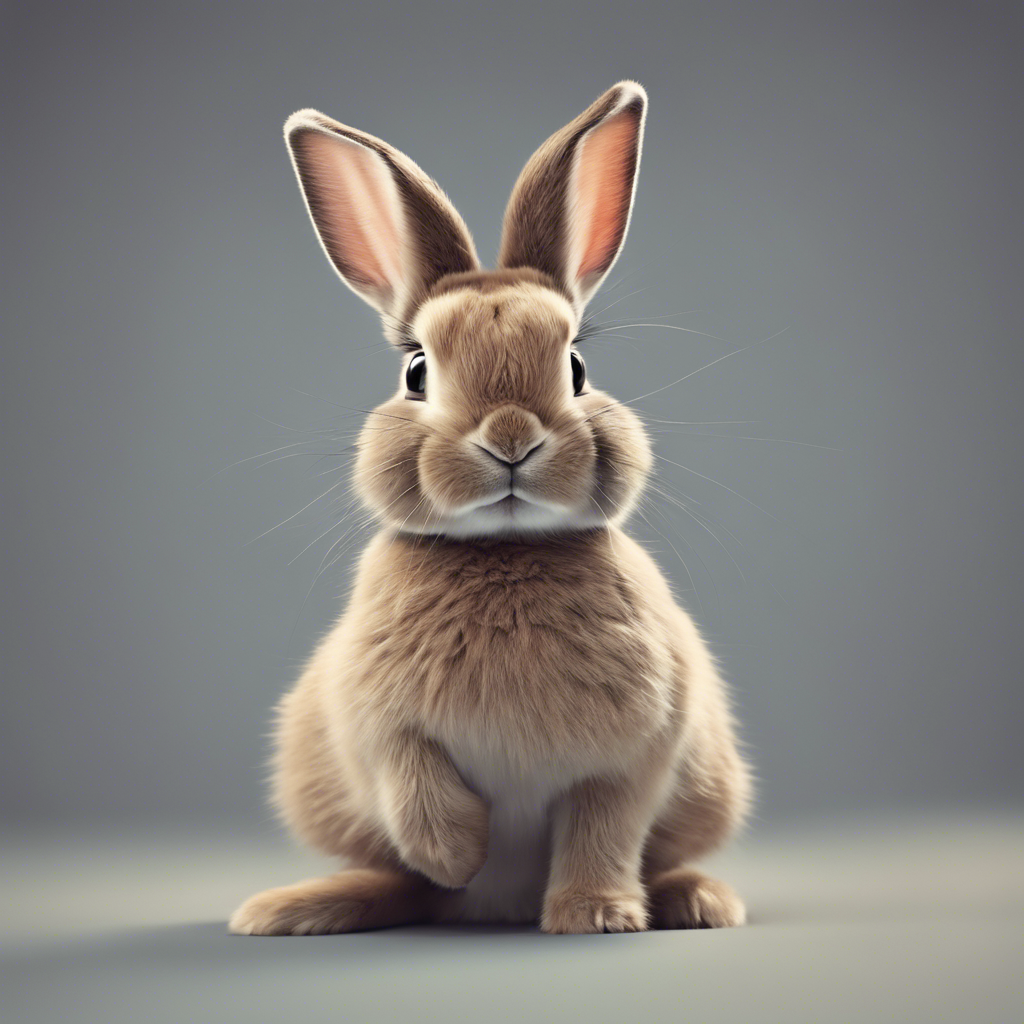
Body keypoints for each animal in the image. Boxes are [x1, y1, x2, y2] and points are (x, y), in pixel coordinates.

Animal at [229, 81, 753, 936]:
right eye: (416, 371)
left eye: (577, 368)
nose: (511, 436)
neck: (505, 550)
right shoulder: (374, 724)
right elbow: (411, 783)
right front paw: (458, 854)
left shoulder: (636, 752)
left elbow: (603, 831)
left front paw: (597, 915)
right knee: (395, 879)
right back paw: (296, 908)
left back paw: (698, 900)